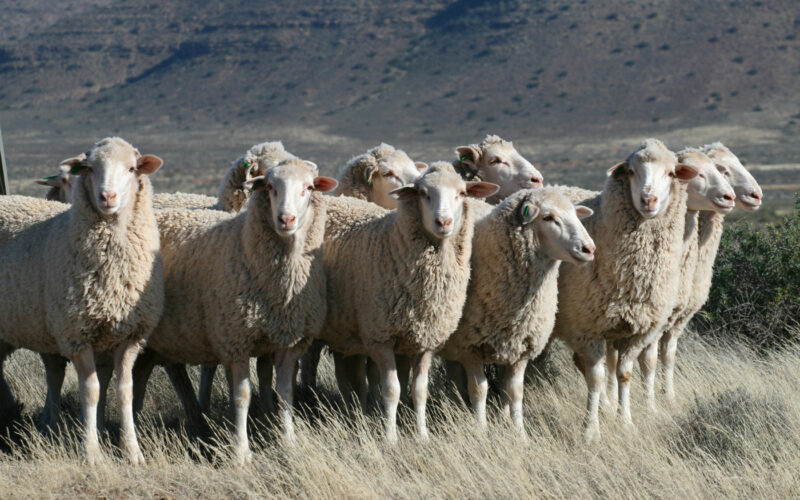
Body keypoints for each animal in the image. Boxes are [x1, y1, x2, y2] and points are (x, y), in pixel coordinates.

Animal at [0, 137, 165, 464]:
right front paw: (91, 452)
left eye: (131, 168)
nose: (107, 196)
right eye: (89, 168)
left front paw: (132, 452)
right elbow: (90, 391)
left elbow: (124, 391)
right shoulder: (76, 333)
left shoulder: (130, 335)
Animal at [144, 159, 338, 460]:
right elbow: (242, 396)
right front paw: (241, 451)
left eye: (308, 187)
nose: (286, 220)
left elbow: (285, 393)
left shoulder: (289, 340)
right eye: (270, 187)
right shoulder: (236, 339)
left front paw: (289, 441)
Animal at [322, 162, 496, 440]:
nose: (443, 222)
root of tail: (338, 201)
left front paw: (422, 435)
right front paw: (390, 437)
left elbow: (419, 390)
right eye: (423, 194)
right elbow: (391, 390)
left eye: (461, 193)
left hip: (343, 330)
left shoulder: (426, 339)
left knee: (348, 376)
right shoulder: (380, 337)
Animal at [438, 188, 592, 434]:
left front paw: (519, 432)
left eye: (576, 215)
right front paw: (481, 430)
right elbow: (479, 390)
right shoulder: (470, 347)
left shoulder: (521, 346)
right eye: (548, 217)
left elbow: (515, 392)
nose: (589, 249)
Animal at [552, 139, 696, 440]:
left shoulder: (637, 330)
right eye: (631, 171)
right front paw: (591, 430)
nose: (648, 200)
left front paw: (625, 421)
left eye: (671, 173)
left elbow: (624, 374)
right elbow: (595, 378)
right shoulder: (589, 327)